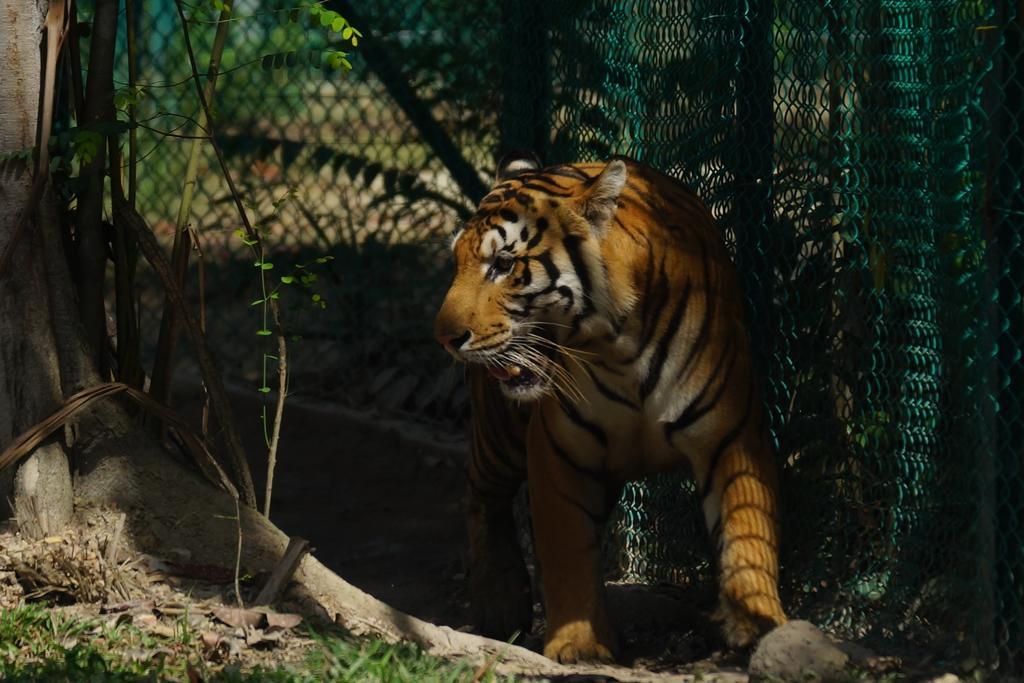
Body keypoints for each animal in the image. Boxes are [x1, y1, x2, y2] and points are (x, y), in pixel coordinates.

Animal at [432, 153, 782, 663]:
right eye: (457, 262)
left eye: (503, 263)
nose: (444, 337)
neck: (618, 351)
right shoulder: (559, 449)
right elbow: (566, 550)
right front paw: (580, 645)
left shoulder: (729, 432)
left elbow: (747, 523)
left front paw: (756, 622)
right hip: (501, 432)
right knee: (481, 493)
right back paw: (501, 602)